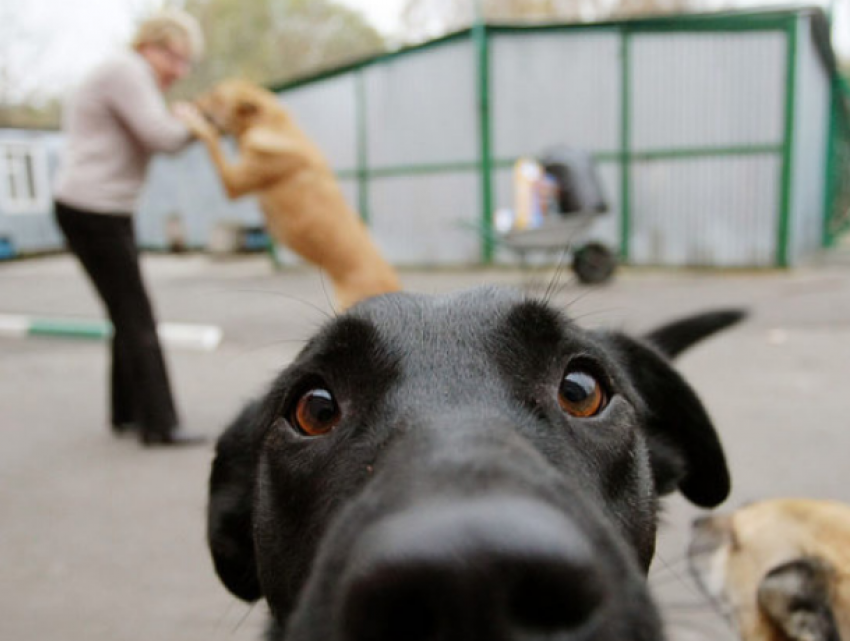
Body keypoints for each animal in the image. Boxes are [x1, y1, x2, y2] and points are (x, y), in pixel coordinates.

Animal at [183, 79, 400, 308]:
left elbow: (211, 140)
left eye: (215, 95)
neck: (270, 124)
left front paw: (195, 123)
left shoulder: (233, 184)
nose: (191, 100)